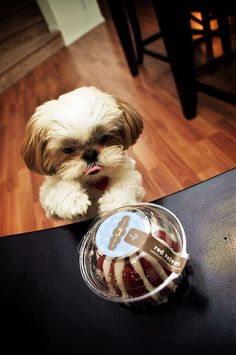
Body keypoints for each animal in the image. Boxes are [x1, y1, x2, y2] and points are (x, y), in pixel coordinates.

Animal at [21, 86, 145, 221]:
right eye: (68, 150)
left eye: (104, 138)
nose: (90, 154)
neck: (94, 181)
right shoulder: (47, 200)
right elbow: (57, 190)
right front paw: (72, 199)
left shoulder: (131, 176)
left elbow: (125, 184)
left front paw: (115, 205)